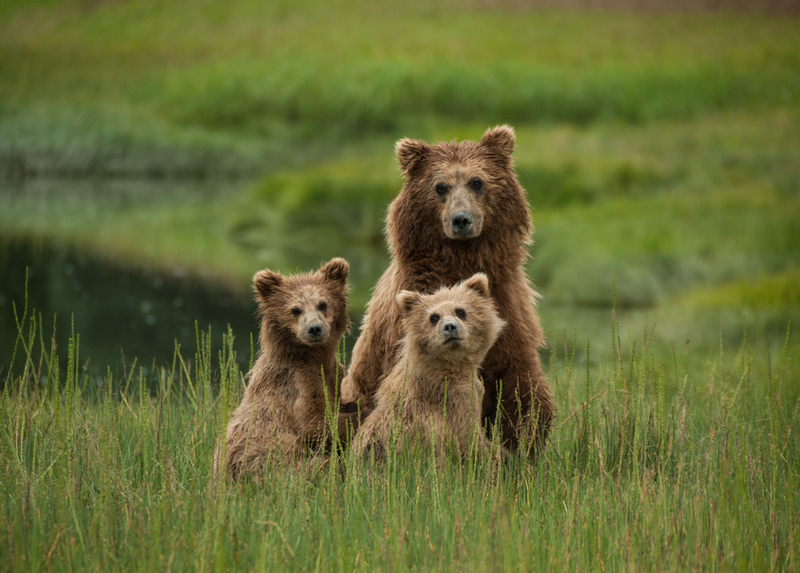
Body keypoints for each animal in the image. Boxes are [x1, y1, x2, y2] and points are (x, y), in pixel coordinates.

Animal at [219, 258, 356, 478]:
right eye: (295, 310)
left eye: (323, 304)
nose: (314, 329)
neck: (312, 357)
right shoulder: (298, 381)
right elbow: (314, 426)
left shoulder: (333, 374)